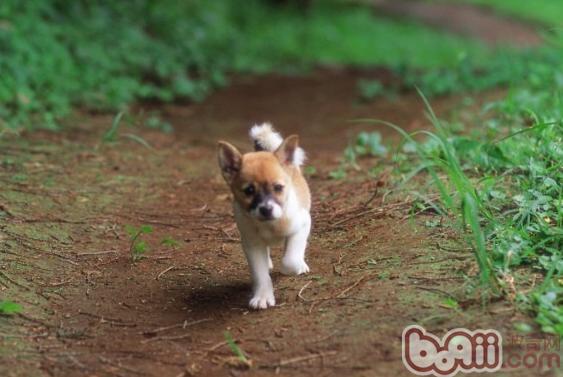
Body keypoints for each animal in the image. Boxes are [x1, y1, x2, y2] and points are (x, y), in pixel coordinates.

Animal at [217, 123, 312, 308]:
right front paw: (262, 296)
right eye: (249, 191)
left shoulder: (303, 224)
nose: (266, 209)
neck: (270, 225)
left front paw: (295, 266)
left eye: (278, 188)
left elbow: (290, 260)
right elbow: (260, 274)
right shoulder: (252, 244)